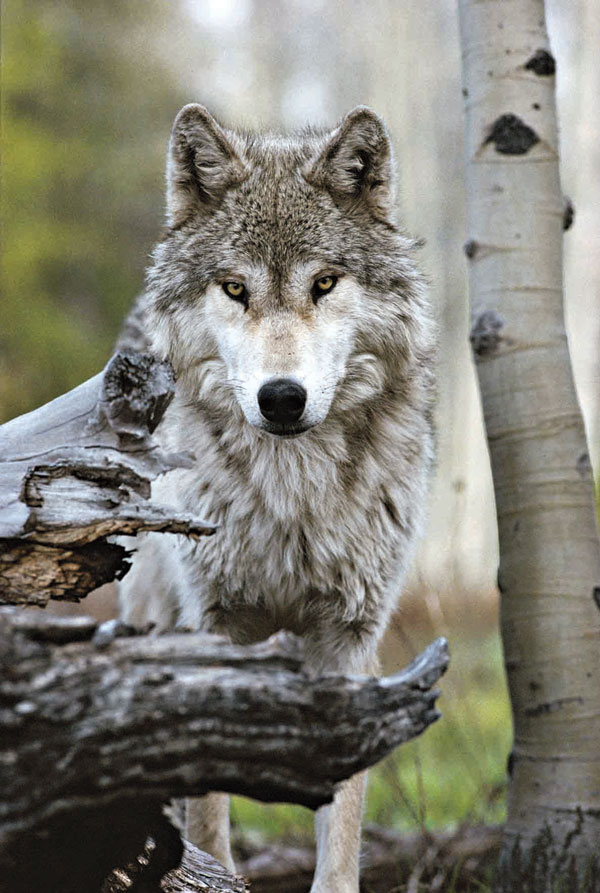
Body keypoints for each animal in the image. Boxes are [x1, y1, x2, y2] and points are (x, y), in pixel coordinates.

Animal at [119, 103, 436, 893]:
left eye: (323, 283)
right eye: (235, 289)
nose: (282, 398)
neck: (293, 496)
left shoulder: (349, 638)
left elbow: (343, 818)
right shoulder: (213, 626)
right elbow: (208, 806)